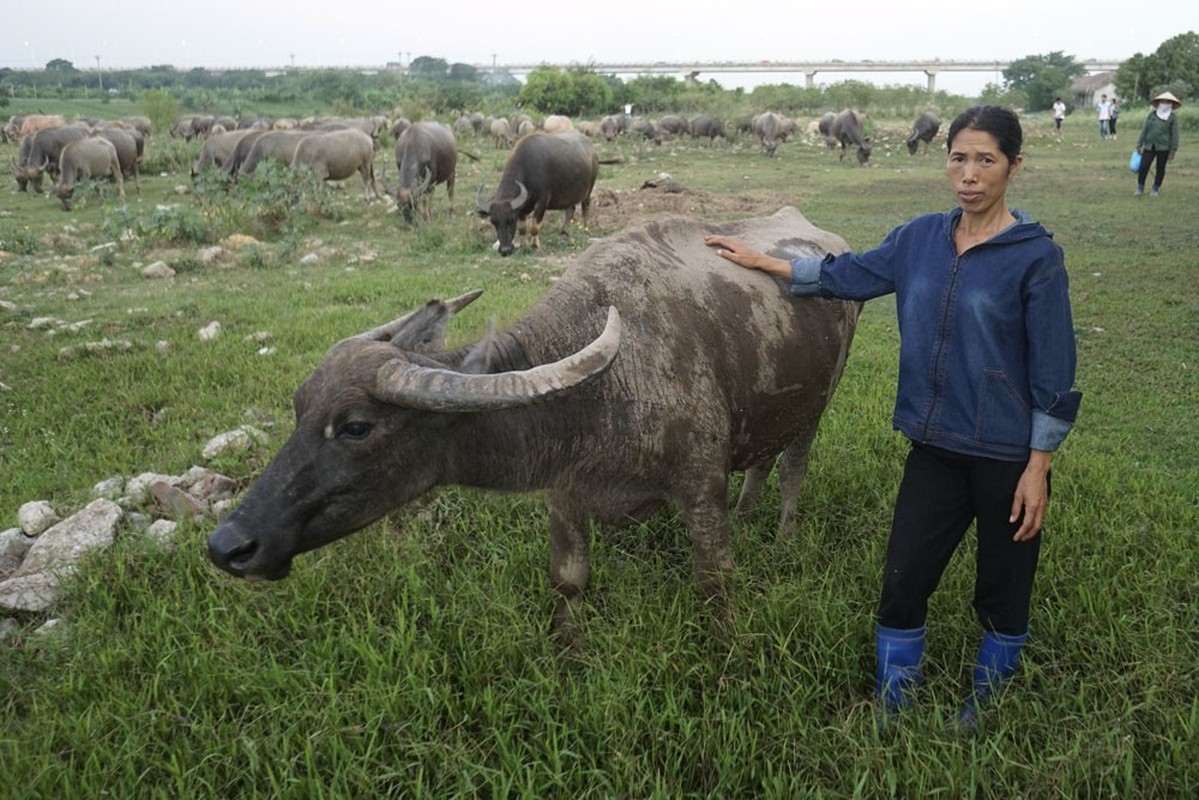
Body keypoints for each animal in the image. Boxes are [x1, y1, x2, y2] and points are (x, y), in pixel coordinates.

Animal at [208, 205, 863, 642]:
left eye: (355, 427)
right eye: (299, 407)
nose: (227, 545)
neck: (604, 389)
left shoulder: (701, 489)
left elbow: (715, 584)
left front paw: (727, 651)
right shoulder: (565, 495)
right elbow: (568, 581)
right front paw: (568, 652)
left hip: (818, 407)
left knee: (793, 469)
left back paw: (782, 536)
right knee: (760, 460)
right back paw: (751, 514)